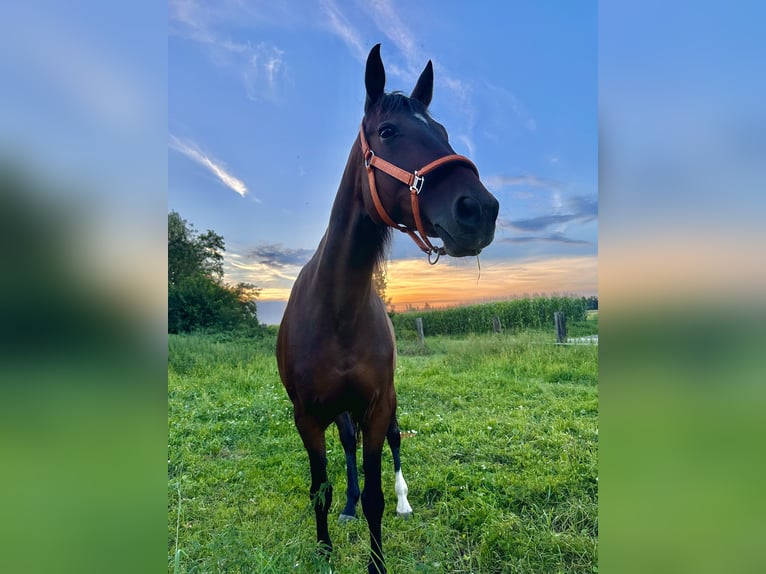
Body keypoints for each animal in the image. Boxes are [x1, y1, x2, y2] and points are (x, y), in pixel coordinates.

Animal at [280, 46, 500, 574]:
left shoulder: (378, 406)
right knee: (348, 448)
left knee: (396, 443)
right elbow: (321, 487)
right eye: (388, 132)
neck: (338, 310)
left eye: (442, 131)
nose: (479, 209)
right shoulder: (308, 416)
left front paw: (378, 557)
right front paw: (326, 545)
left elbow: (377, 492)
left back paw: (402, 499)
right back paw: (347, 506)